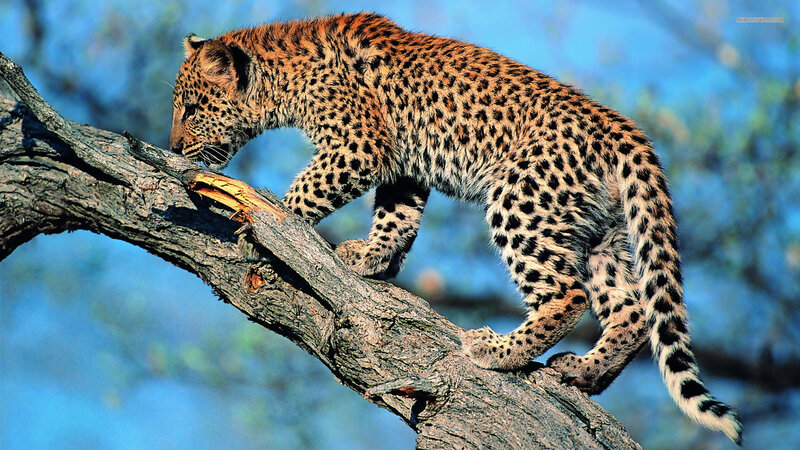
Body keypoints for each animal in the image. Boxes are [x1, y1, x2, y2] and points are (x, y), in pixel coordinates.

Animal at [168, 12, 741, 443]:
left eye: (193, 109)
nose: (173, 146)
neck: (281, 79)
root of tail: (621, 128)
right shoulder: (401, 166)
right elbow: (396, 217)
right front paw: (372, 259)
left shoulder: (359, 146)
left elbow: (308, 191)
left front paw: (264, 222)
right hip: (602, 232)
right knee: (631, 309)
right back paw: (583, 372)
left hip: (519, 198)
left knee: (568, 293)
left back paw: (497, 352)